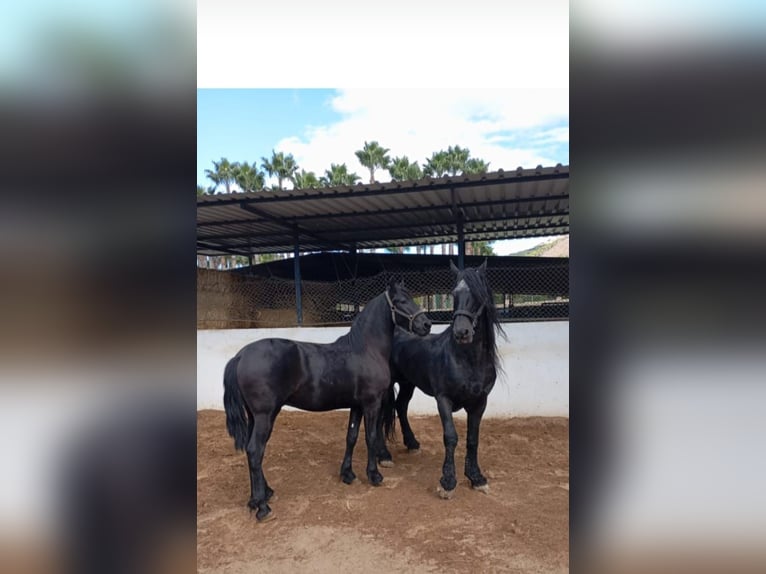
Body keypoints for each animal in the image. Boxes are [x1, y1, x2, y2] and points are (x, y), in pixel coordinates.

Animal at [223, 279, 431, 521]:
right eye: (400, 301)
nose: (426, 324)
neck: (365, 349)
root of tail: (240, 356)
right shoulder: (371, 404)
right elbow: (370, 437)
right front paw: (374, 475)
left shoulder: (356, 406)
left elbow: (351, 437)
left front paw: (348, 474)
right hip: (265, 416)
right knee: (256, 451)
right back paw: (262, 507)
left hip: (256, 416)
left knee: (252, 451)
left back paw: (261, 496)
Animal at [379, 260, 504, 499]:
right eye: (454, 293)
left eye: (479, 294)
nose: (462, 332)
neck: (466, 360)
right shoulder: (443, 399)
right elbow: (451, 437)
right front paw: (447, 482)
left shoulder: (479, 402)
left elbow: (472, 439)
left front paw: (477, 478)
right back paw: (384, 456)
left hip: (408, 383)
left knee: (401, 406)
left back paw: (412, 443)